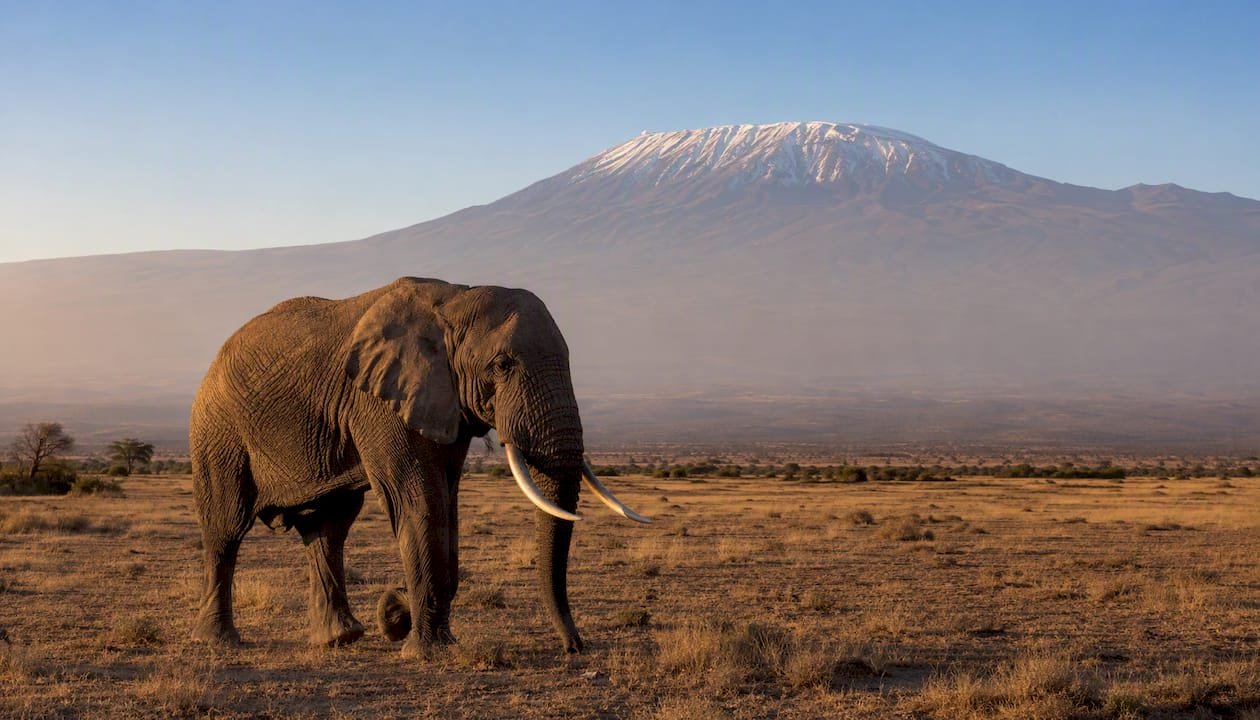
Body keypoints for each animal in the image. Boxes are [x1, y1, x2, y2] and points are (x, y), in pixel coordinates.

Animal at [189, 277, 649, 657]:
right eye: (503, 365)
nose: (574, 647)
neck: (454, 299)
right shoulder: (379, 401)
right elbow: (420, 500)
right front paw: (424, 651)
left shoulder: (445, 403)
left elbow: (448, 503)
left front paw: (412, 625)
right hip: (218, 430)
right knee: (227, 527)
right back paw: (219, 641)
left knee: (328, 528)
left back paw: (339, 639)